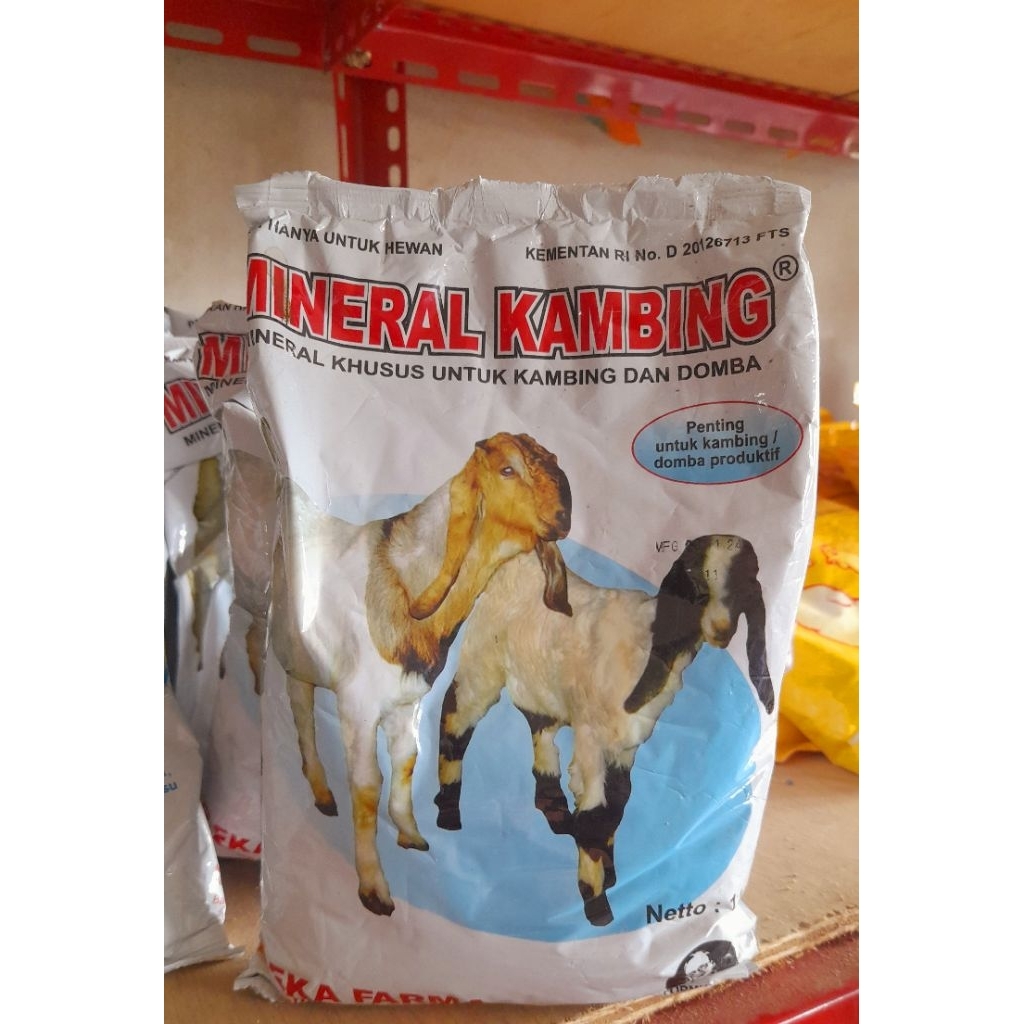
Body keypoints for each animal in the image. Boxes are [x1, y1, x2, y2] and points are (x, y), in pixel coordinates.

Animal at [267, 432, 573, 917]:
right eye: (507, 469)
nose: (564, 515)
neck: (402, 577)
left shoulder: (405, 703)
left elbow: (407, 761)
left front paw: (410, 833)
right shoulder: (358, 705)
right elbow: (367, 785)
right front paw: (373, 888)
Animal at [434, 534, 774, 927]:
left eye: (744, 582)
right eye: (693, 576)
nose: (720, 629)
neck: (649, 639)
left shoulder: (625, 746)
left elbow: (619, 803)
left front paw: (609, 875)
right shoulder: (592, 741)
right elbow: (597, 813)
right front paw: (597, 903)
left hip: (538, 682)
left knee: (540, 729)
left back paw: (556, 814)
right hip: (481, 664)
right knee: (455, 721)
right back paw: (447, 813)